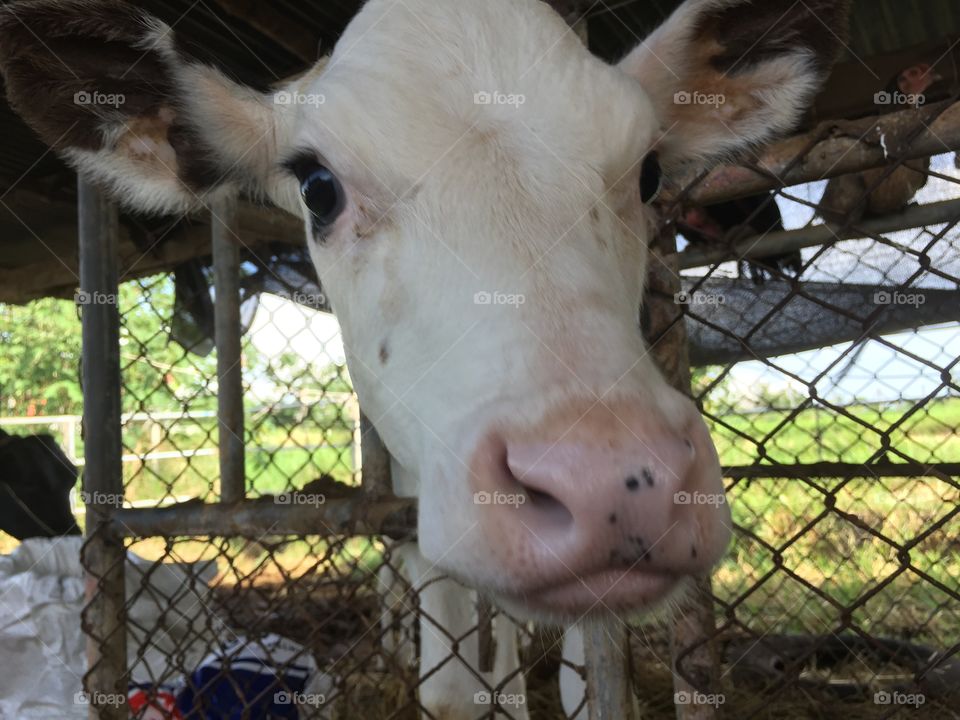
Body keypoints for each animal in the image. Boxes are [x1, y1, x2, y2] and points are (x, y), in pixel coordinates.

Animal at [0, 1, 848, 716]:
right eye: (317, 187)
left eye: (647, 173)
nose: (610, 476)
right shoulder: (415, 492)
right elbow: (451, 687)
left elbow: (582, 687)